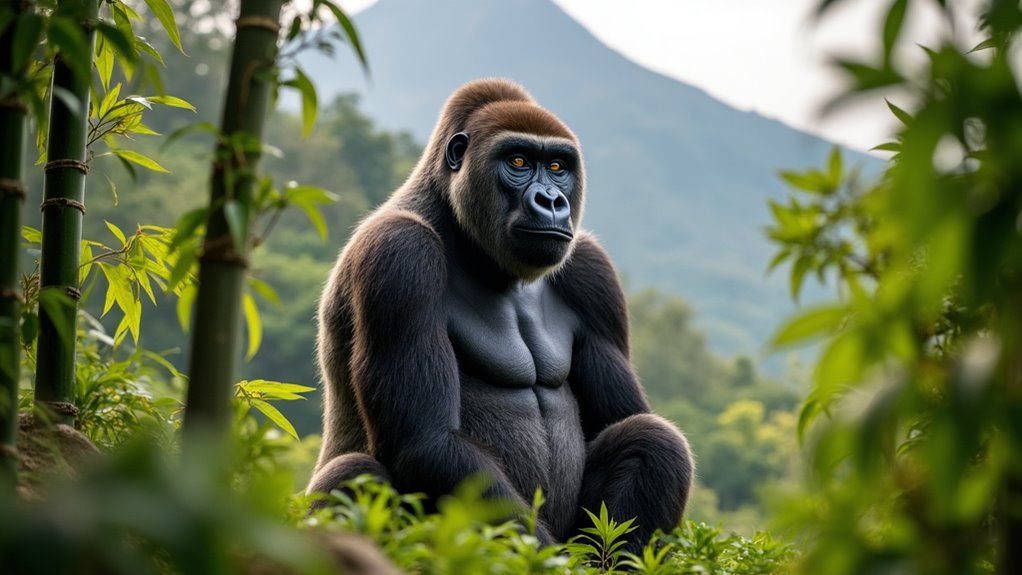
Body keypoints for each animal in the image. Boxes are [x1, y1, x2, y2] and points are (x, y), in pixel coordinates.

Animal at [307, 78, 693, 550]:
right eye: (519, 162)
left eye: (558, 166)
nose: (552, 201)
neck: (455, 224)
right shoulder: (399, 255)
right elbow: (429, 442)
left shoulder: (592, 271)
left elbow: (627, 420)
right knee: (356, 472)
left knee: (653, 439)